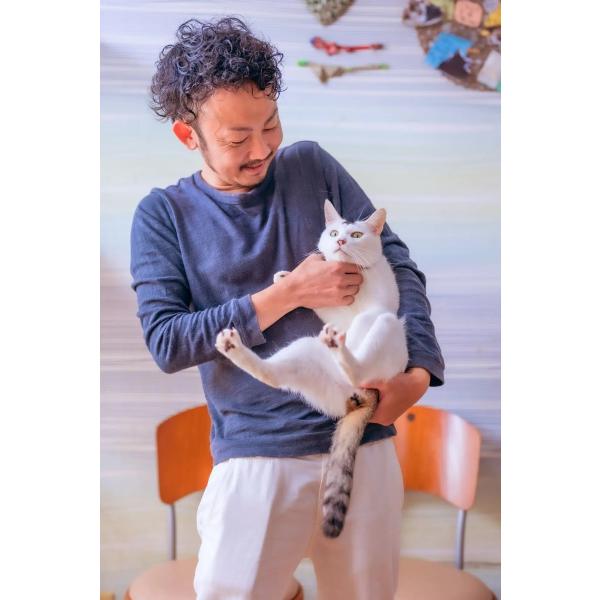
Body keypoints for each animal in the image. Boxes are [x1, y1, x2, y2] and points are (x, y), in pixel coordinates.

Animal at [215, 199, 409, 538]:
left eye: (356, 234)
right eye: (333, 232)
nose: (341, 241)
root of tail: (360, 396)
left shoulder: (379, 305)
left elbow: (363, 317)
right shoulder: (331, 309)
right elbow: (323, 304)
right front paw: (284, 278)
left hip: (385, 330)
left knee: (359, 364)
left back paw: (343, 351)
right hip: (305, 352)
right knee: (273, 375)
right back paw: (236, 348)